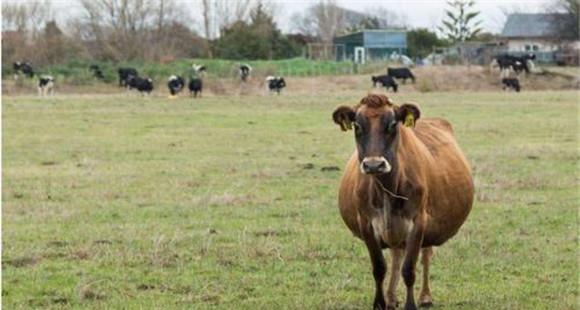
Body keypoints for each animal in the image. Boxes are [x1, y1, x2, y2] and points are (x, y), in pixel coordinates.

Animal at [334, 94, 474, 310]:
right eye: (357, 125)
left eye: (393, 124)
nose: (374, 164)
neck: (387, 189)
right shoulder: (366, 224)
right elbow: (379, 267)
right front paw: (380, 303)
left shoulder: (418, 222)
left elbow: (409, 269)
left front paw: (411, 304)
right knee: (396, 255)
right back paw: (392, 298)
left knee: (425, 255)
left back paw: (425, 296)